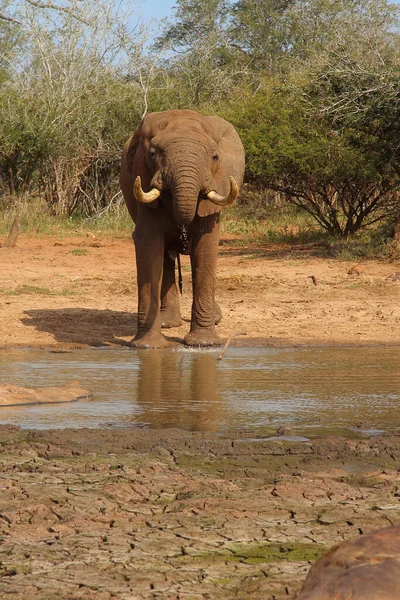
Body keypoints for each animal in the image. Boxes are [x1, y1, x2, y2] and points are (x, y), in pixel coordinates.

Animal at [119, 110, 244, 350]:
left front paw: (204, 344)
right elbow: (148, 244)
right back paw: (167, 323)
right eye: (152, 154)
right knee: (166, 260)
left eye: (215, 157)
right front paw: (148, 347)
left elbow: (206, 247)